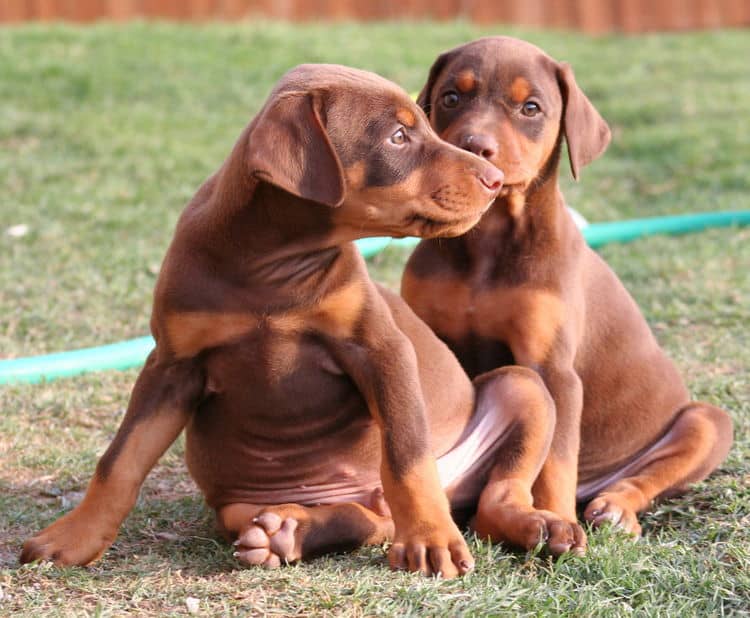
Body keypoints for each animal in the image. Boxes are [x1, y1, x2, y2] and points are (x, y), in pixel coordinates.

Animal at [20, 65, 572, 576]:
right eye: (397, 136)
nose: (494, 181)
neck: (272, 265)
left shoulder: (381, 350)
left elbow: (407, 457)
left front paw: (431, 538)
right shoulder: (172, 363)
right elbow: (120, 460)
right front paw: (72, 539)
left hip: (522, 391)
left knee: (490, 494)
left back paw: (536, 526)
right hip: (240, 505)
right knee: (364, 520)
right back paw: (285, 532)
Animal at [406, 38, 736, 548]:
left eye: (531, 108)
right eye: (451, 98)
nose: (475, 147)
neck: (488, 243)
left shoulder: (554, 370)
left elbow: (555, 462)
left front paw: (556, 520)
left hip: (709, 424)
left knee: (646, 474)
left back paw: (614, 510)